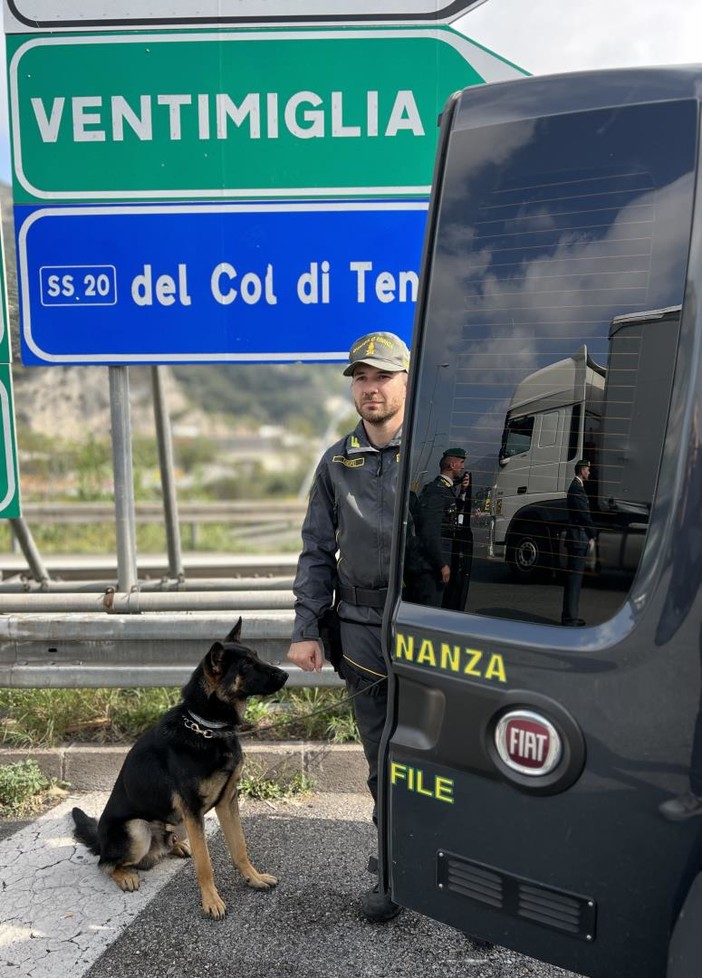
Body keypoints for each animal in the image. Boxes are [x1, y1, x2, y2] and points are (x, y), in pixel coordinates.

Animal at [71, 616, 288, 916]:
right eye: (246, 665)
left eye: (256, 656)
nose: (286, 674)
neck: (207, 727)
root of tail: (102, 841)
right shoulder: (194, 810)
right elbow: (205, 862)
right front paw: (211, 901)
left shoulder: (227, 801)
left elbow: (240, 847)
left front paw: (252, 878)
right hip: (137, 829)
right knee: (106, 863)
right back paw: (124, 875)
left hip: (178, 823)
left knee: (163, 846)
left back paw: (177, 847)